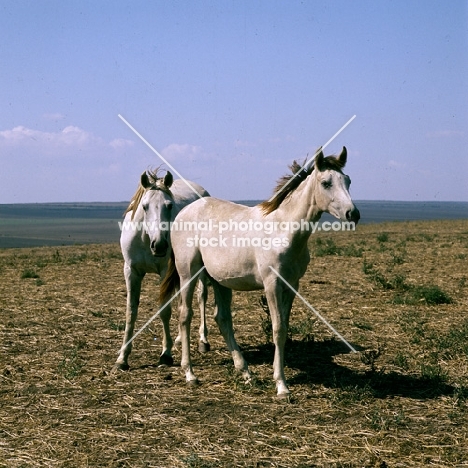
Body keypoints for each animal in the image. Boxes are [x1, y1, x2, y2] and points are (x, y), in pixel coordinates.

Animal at [113, 170, 210, 372]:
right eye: (145, 206)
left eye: (169, 205)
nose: (159, 245)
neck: (145, 238)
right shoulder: (131, 271)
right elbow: (130, 311)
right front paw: (122, 358)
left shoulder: (165, 272)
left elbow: (165, 310)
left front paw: (166, 354)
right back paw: (181, 338)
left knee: (201, 296)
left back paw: (203, 341)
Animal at [161, 149, 358, 394]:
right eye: (326, 183)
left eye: (348, 180)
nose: (353, 214)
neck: (283, 229)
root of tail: (184, 212)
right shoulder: (271, 283)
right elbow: (277, 329)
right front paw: (282, 385)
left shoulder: (292, 285)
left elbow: (284, 329)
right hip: (189, 274)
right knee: (185, 315)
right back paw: (190, 373)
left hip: (219, 280)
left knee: (222, 318)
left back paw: (245, 372)